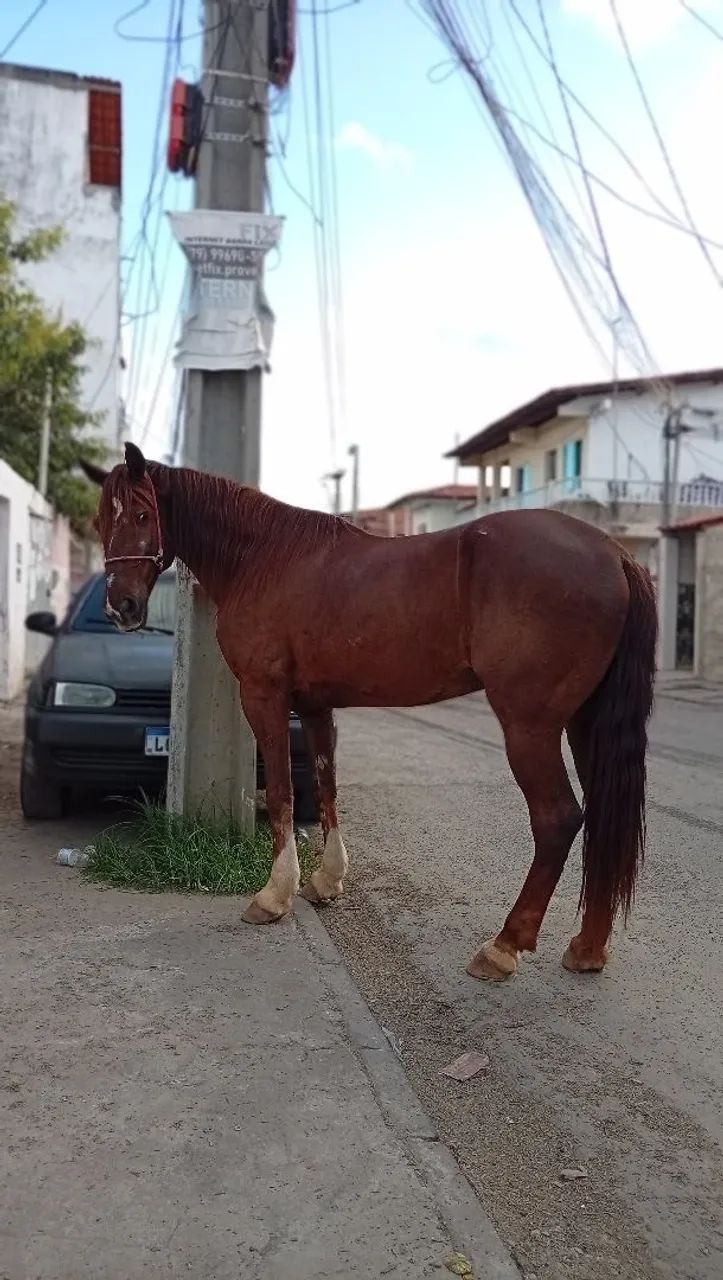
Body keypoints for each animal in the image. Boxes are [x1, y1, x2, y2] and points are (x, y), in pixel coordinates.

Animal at [83, 442, 657, 982]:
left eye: (142, 515)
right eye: (100, 521)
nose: (121, 608)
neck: (263, 557)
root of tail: (612, 553)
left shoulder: (264, 697)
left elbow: (283, 794)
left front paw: (274, 895)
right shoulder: (315, 705)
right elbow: (326, 784)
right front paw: (326, 880)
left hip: (529, 728)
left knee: (558, 819)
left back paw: (502, 947)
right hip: (584, 724)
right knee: (602, 813)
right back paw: (587, 949)